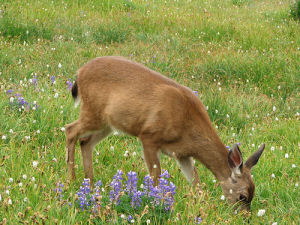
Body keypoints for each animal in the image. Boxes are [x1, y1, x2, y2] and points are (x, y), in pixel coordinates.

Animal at [65, 55, 264, 211]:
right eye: (242, 196)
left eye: (252, 194)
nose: (245, 217)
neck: (187, 124)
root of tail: (79, 73)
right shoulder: (149, 137)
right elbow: (156, 178)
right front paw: (157, 202)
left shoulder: (183, 154)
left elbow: (197, 183)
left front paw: (203, 207)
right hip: (93, 112)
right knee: (70, 130)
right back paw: (71, 181)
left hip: (108, 124)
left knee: (85, 141)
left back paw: (90, 185)